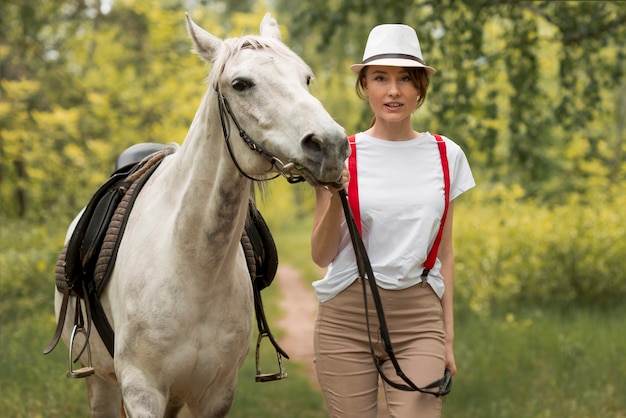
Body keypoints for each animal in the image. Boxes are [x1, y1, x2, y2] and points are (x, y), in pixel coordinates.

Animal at [53, 13, 346, 418]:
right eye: (240, 84)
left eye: (305, 78)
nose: (330, 145)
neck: (193, 265)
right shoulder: (142, 390)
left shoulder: (215, 395)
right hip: (102, 383)